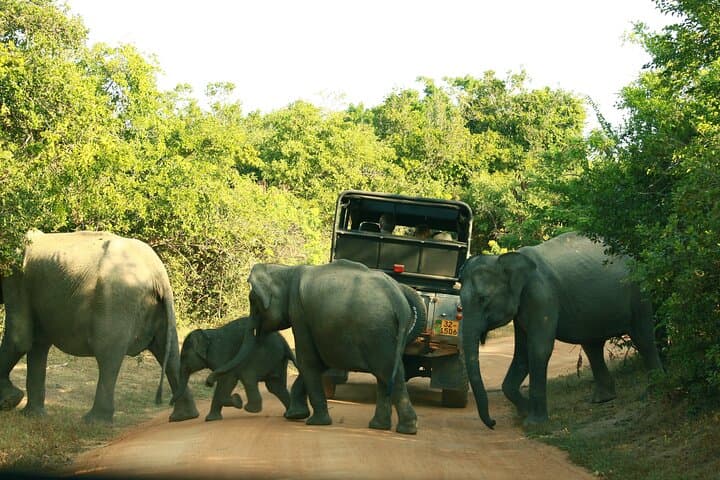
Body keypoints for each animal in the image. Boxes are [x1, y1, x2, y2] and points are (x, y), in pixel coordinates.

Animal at [0, 230, 199, 423]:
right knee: (170, 353)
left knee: (107, 355)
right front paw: (31, 415)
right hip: (159, 308)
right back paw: (184, 416)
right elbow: (37, 344)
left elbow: (20, 339)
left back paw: (93, 421)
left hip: (116, 301)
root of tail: (158, 274)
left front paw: (10, 401)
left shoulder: (16, 280)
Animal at [205, 259, 422, 434]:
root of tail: (399, 298)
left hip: (375, 330)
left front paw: (313, 422)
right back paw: (382, 427)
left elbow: (307, 361)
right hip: (388, 333)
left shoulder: (300, 313)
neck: (286, 270)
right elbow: (320, 363)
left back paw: (405, 430)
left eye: (254, 303)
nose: (208, 382)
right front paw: (296, 415)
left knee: (386, 372)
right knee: (389, 374)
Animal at [458, 232, 663, 428]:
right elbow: (522, 353)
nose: (493, 423)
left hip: (638, 292)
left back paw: (652, 392)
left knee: (643, 338)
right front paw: (525, 412)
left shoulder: (541, 297)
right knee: (592, 346)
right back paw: (603, 399)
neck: (505, 260)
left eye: (483, 299)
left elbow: (538, 350)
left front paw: (533, 423)